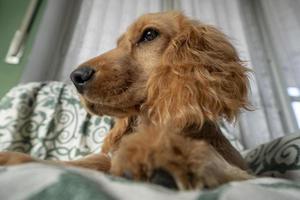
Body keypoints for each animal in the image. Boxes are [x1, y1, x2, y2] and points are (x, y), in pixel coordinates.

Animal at [0, 11, 253, 190]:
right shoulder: (106, 160)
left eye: (149, 34)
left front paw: (168, 155)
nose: (76, 77)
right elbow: (94, 160)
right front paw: (18, 158)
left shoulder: (245, 175)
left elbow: (215, 161)